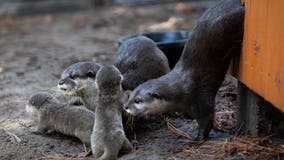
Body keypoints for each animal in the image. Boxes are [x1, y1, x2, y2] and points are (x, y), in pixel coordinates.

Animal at [123, 0, 244, 140]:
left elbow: (207, 120)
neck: (181, 90)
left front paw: (198, 139)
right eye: (130, 95)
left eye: (138, 100)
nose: (125, 106)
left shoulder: (201, 97)